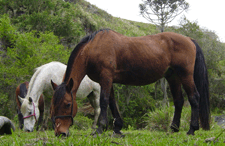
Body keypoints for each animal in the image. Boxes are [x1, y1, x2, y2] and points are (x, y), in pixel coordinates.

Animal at [50, 28, 210, 137]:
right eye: (53, 104)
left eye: (68, 104)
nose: (60, 132)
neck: (94, 47)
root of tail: (189, 39)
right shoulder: (107, 80)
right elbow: (112, 103)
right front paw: (117, 128)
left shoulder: (106, 78)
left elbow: (104, 101)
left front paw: (100, 128)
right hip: (173, 77)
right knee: (178, 101)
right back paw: (174, 128)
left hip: (185, 75)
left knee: (194, 98)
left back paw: (192, 129)